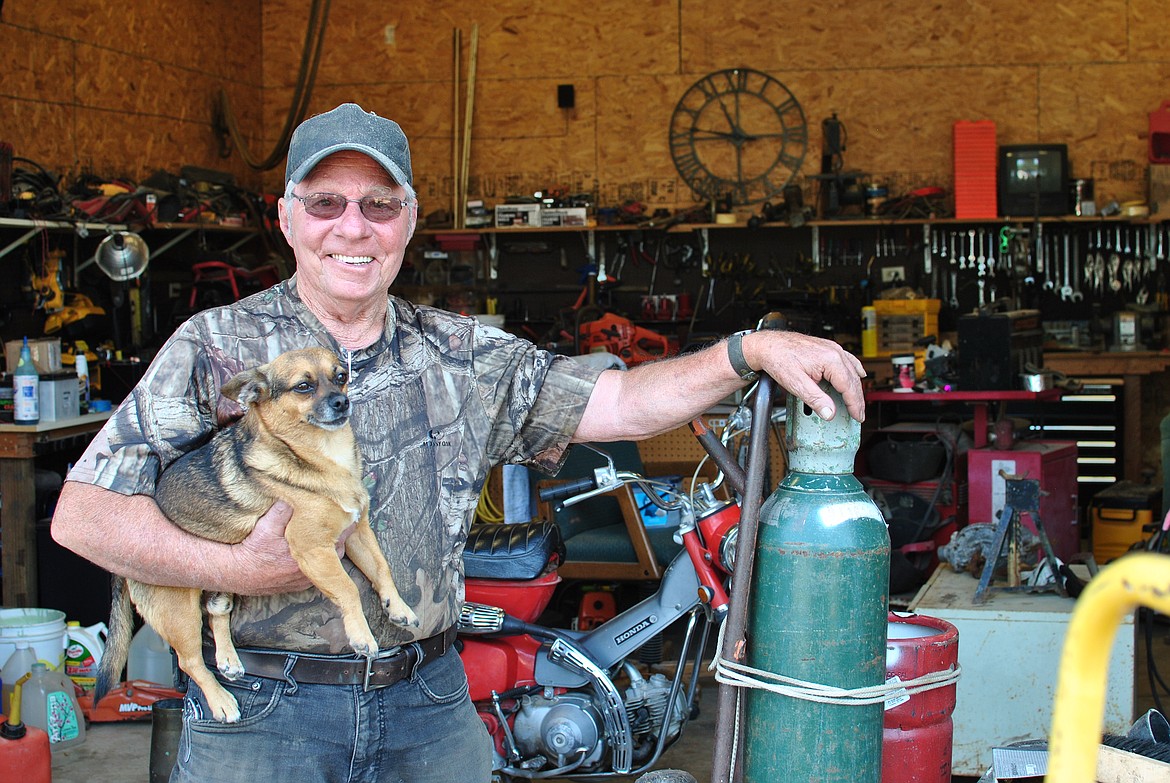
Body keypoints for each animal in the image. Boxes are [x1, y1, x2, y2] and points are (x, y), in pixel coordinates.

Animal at [95, 346, 418, 720]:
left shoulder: (356, 531)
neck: (325, 454)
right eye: (303, 386)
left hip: (223, 580)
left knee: (217, 611)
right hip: (178, 612)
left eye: (341, 377)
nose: (342, 402)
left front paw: (397, 606)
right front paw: (361, 635)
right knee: (191, 661)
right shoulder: (313, 548)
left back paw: (229, 660)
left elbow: (381, 568)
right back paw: (221, 701)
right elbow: (347, 588)